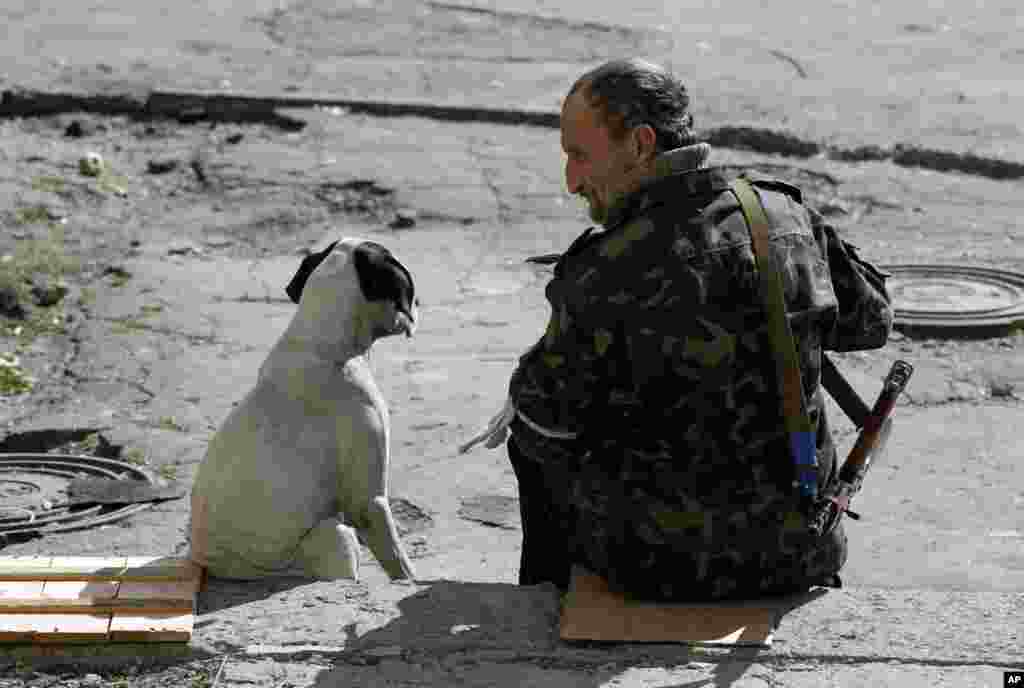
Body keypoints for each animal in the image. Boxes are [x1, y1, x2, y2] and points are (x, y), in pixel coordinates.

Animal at [190, 236, 417, 581]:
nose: (417, 306)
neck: (324, 345)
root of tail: (208, 564)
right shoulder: (370, 502)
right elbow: (398, 560)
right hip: (337, 539)